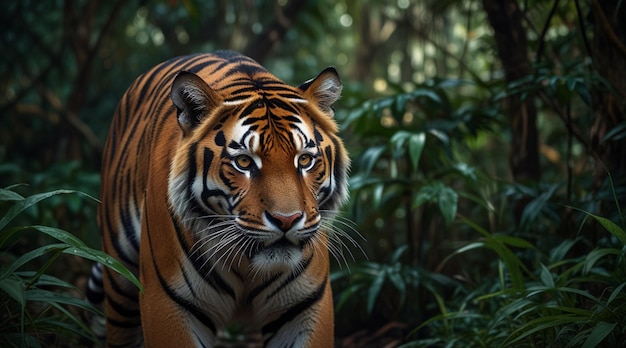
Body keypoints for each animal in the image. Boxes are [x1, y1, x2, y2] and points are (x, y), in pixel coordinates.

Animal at [86, 49, 354, 348]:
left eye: (305, 160)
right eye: (244, 162)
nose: (287, 220)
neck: (248, 265)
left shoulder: (305, 305)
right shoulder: (167, 302)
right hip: (119, 280)